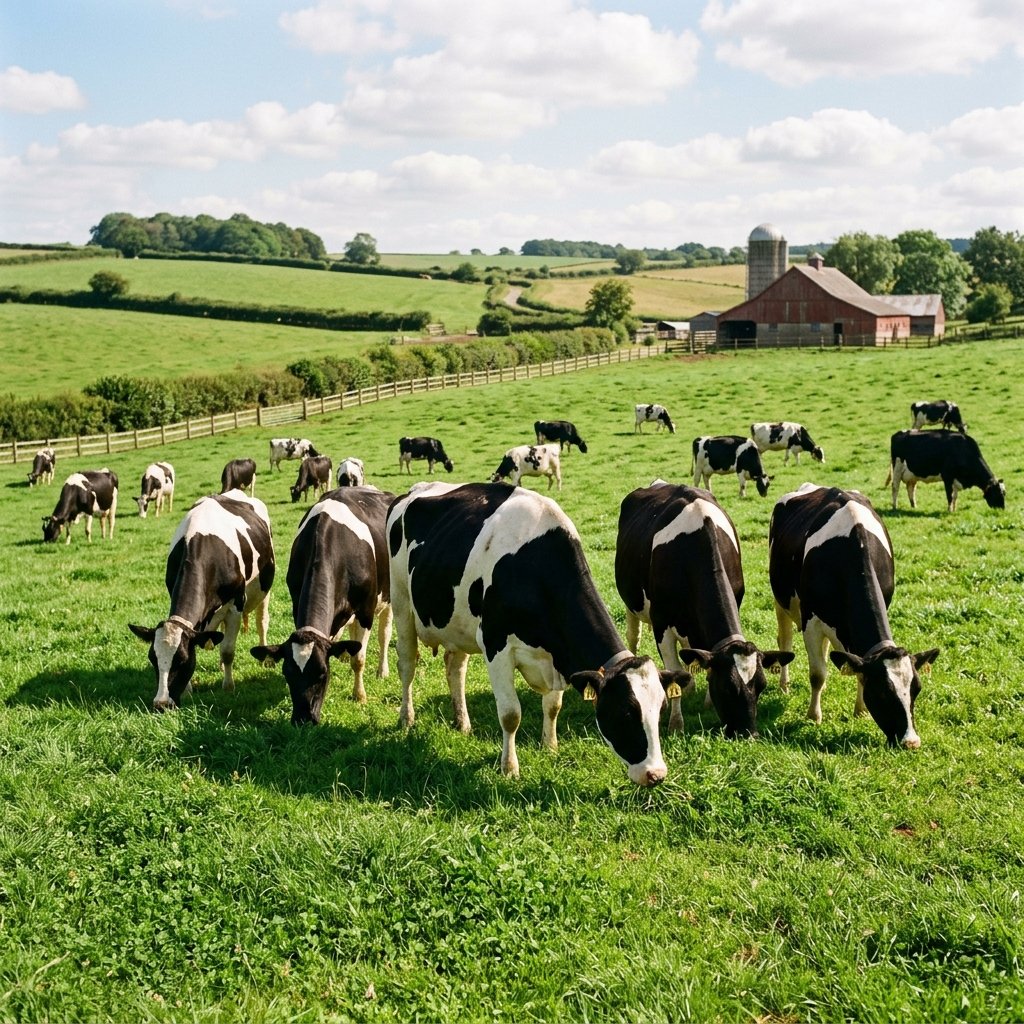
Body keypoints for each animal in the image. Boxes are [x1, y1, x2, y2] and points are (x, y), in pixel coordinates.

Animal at [128, 490, 275, 711]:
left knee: (261, 622)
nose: (161, 703)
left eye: (182, 660)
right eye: (153, 659)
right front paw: (188, 690)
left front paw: (228, 686)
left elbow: (228, 650)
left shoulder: (235, 606)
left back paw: (265, 659)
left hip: (264, 589)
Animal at [250, 487, 396, 723]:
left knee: (384, 633)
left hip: (389, 596)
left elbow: (359, 658)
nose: (303, 719)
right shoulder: (296, 602)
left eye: (322, 673)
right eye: (287, 674)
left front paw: (360, 695)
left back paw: (382, 670)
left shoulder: (365, 610)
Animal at [387, 481, 689, 786]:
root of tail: (415, 490)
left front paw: (550, 747)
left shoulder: (557, 657)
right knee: (407, 664)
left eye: (661, 709)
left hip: (458, 623)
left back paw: (462, 723)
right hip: (401, 603)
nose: (656, 774)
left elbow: (553, 705)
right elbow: (510, 714)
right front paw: (509, 768)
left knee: (455, 668)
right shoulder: (495, 646)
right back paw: (406, 718)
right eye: (625, 712)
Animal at [616, 480, 793, 737]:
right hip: (632, 601)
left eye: (761, 686)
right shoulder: (662, 627)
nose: (748, 735)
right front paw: (676, 724)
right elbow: (676, 676)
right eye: (728, 688)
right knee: (633, 635)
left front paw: (707, 701)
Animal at [769, 483, 939, 747]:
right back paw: (784, 685)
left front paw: (860, 711)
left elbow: (856, 670)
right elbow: (817, 674)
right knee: (785, 641)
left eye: (916, 689)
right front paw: (813, 716)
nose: (910, 742)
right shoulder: (811, 622)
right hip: (782, 599)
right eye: (882, 692)